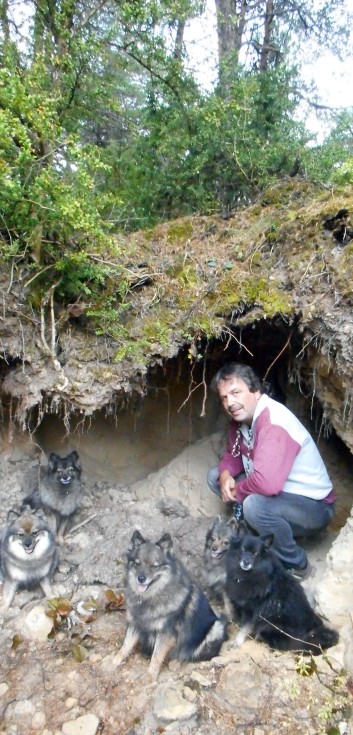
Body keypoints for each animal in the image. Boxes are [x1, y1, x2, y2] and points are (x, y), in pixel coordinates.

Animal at [113, 528, 228, 680]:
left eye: (154, 566)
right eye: (137, 563)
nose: (141, 578)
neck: (151, 597)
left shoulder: (165, 633)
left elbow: (156, 656)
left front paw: (150, 676)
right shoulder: (135, 624)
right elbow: (125, 646)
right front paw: (113, 663)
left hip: (215, 628)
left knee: (192, 654)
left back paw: (177, 662)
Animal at [226, 524, 338, 656]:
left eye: (256, 554)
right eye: (243, 549)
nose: (246, 562)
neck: (249, 575)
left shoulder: (252, 612)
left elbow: (243, 629)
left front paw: (236, 643)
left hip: (271, 624)